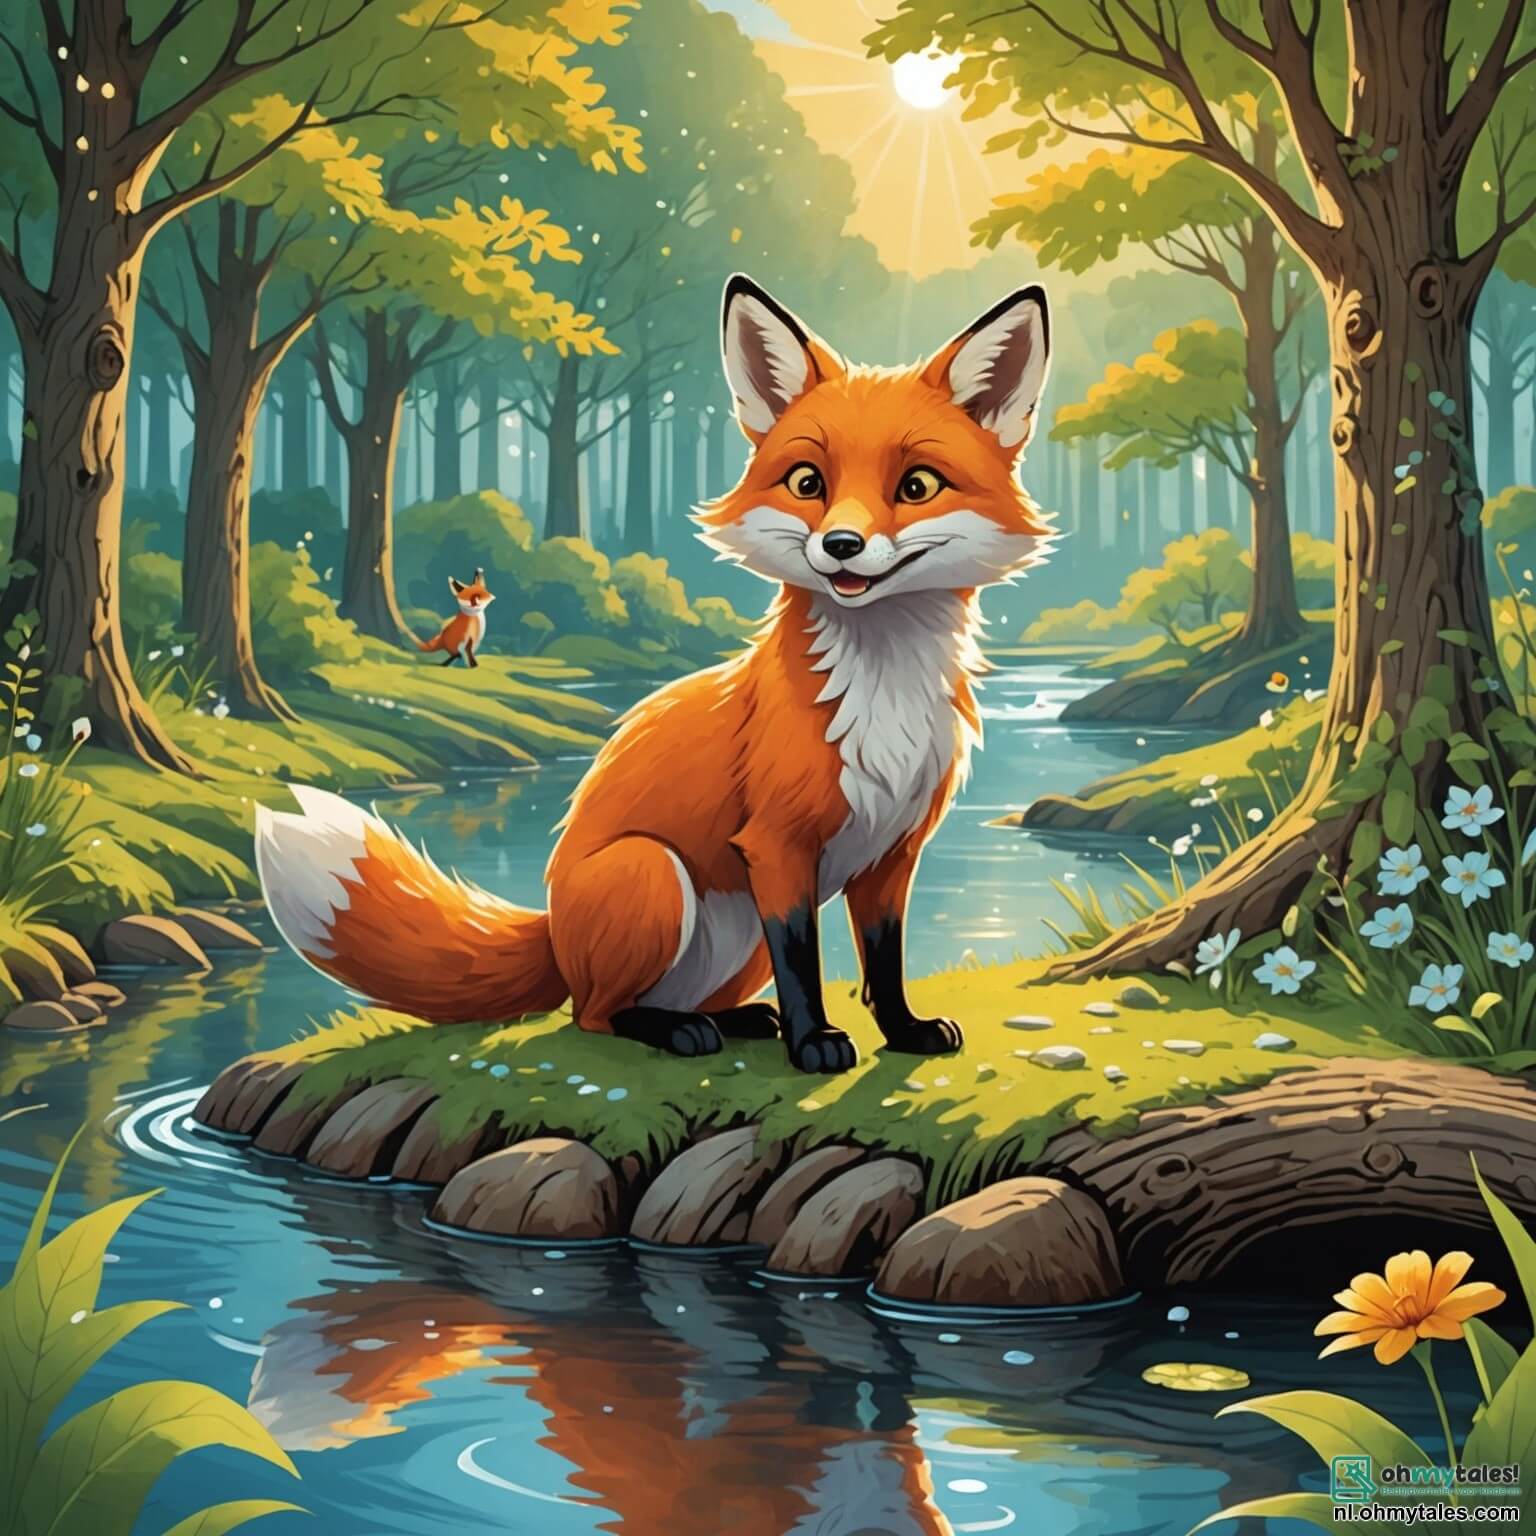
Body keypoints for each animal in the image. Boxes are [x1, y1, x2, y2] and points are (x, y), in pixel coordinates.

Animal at [256, 273, 1054, 1074]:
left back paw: (734, 1020)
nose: (841, 545)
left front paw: (905, 1031)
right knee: (594, 1016)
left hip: (734, 939)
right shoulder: (777, 848)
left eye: (917, 486)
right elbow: (803, 963)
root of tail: (553, 929)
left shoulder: (893, 852)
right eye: (808, 482)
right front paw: (814, 1044)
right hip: (653, 875)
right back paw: (677, 1031)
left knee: (673, 1000)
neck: (883, 690)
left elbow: (883, 962)